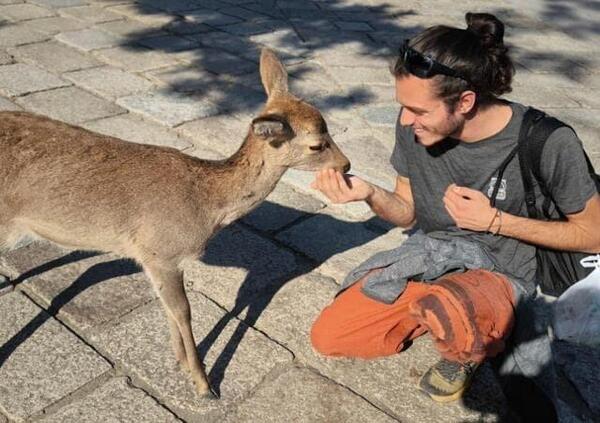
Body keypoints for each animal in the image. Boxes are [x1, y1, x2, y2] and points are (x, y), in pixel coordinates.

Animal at [0, 48, 352, 398]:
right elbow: (184, 310)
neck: (207, 208)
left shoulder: (153, 257)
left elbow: (169, 308)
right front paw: (204, 383)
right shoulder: (162, 252)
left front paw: (181, 362)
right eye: (317, 144)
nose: (346, 164)